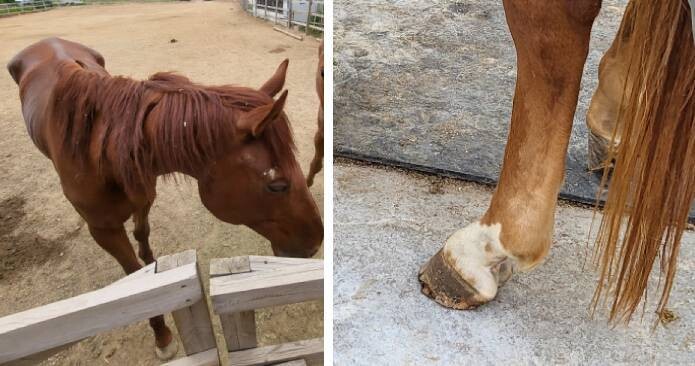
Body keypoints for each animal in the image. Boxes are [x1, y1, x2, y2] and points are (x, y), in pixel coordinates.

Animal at [8, 38, 324, 358]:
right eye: (277, 185)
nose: (315, 243)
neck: (103, 153)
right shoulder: (103, 230)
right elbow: (135, 279)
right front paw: (161, 334)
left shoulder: (145, 196)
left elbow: (142, 235)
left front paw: (153, 267)